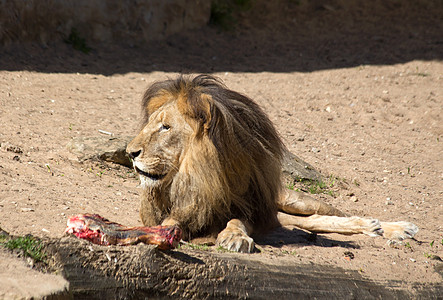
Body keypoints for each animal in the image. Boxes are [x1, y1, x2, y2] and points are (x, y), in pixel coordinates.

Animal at [125, 74, 420, 252]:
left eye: (165, 127)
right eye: (152, 124)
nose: (130, 152)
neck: (198, 176)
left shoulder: (255, 210)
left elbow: (237, 220)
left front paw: (235, 238)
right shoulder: (181, 210)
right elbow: (168, 223)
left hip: (294, 201)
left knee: (333, 214)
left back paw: (388, 227)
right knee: (311, 223)